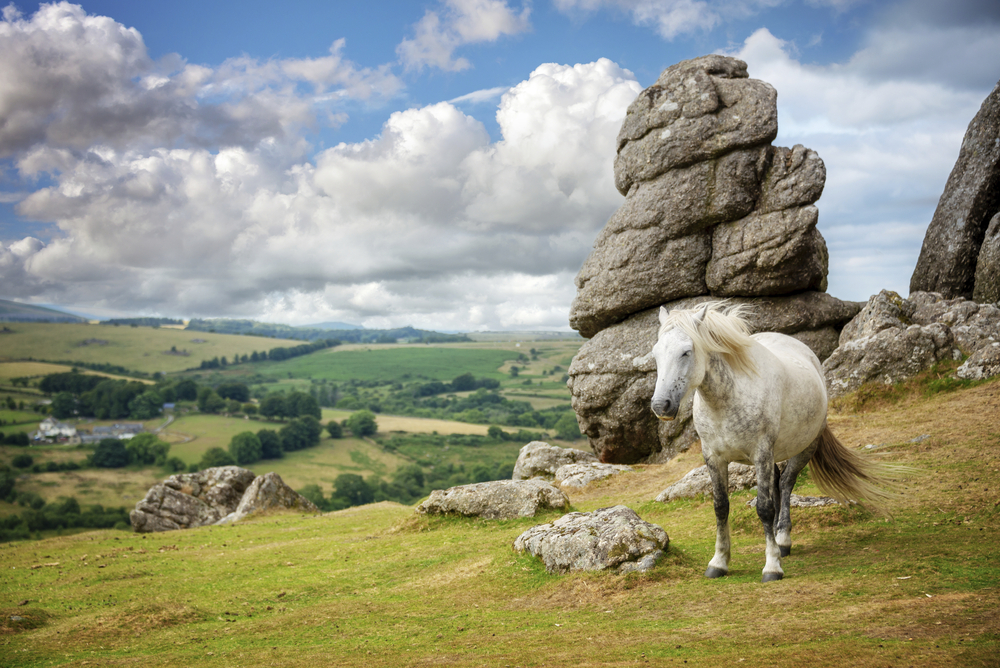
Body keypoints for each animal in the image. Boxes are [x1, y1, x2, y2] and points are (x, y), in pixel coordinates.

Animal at [652, 302, 896, 580]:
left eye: (686, 352)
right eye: (656, 354)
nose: (660, 406)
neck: (728, 398)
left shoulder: (761, 455)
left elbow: (764, 508)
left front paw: (772, 566)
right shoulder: (714, 458)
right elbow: (720, 507)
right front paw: (719, 562)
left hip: (804, 448)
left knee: (787, 484)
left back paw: (783, 540)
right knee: (779, 483)